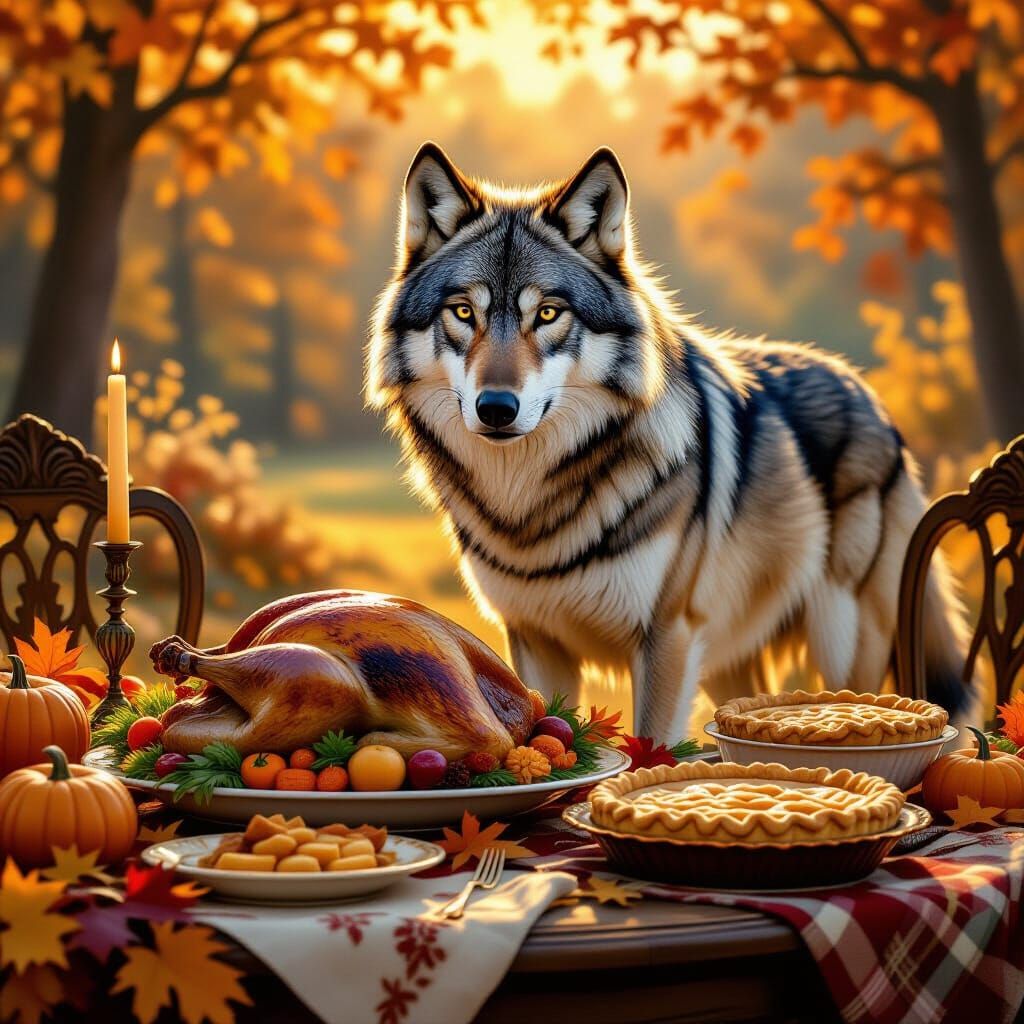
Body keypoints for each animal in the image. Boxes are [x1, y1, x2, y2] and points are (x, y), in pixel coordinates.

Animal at [366, 142, 970, 740]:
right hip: (731, 662)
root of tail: (871, 397)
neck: (529, 505)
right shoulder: (536, 640)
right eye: (464, 311)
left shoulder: (665, 637)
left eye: (548, 313)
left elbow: (651, 746)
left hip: (841, 641)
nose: (496, 408)